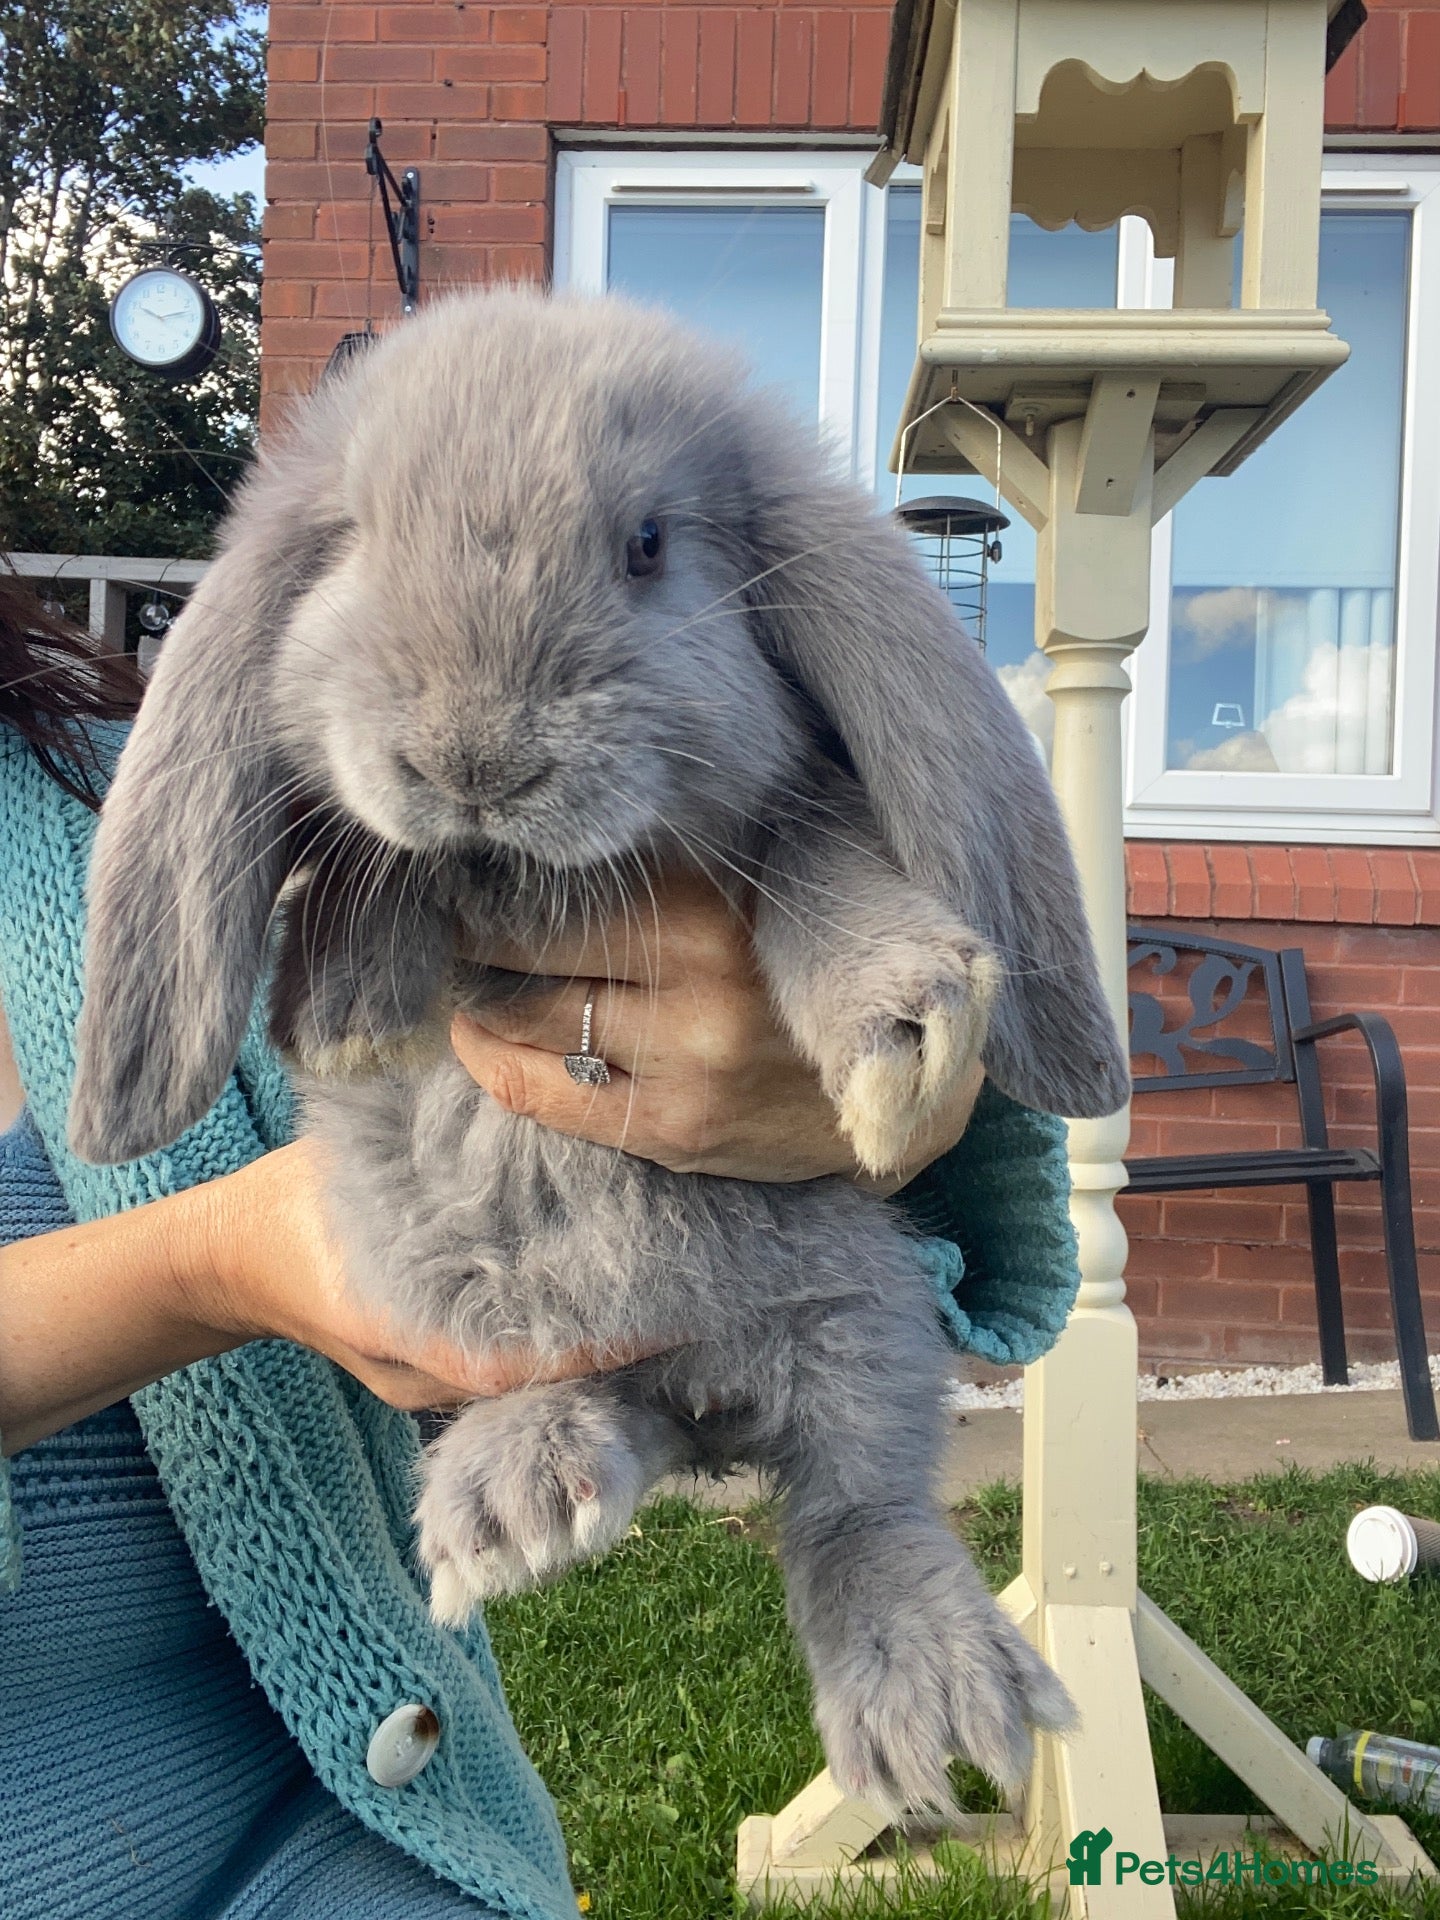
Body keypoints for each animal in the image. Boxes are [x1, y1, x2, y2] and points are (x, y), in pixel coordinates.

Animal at [70, 287, 1128, 1819]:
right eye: (354, 544)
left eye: (646, 545)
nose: (472, 763)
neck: (537, 877)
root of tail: (709, 1392)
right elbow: (378, 886)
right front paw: (355, 998)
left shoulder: (786, 815)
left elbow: (817, 855)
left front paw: (905, 1041)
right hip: (508, 1306)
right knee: (619, 1407)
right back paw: (517, 1497)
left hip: (854, 1302)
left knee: (856, 1502)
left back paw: (924, 1699)